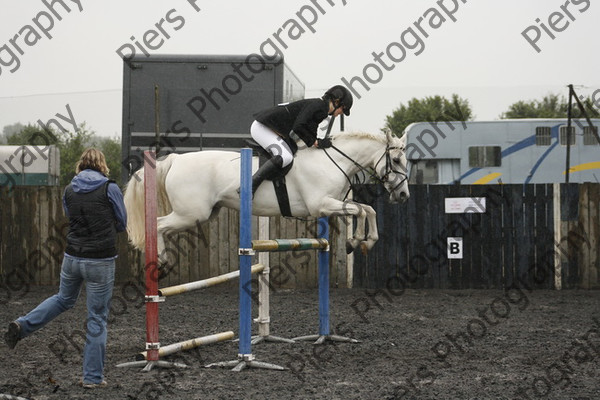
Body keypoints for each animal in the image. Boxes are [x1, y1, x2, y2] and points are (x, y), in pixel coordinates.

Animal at [124, 131, 410, 260]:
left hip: (202, 214)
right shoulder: (322, 206)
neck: (333, 160)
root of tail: (175, 159)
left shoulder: (337, 202)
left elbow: (367, 209)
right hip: (191, 214)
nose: (404, 195)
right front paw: (357, 241)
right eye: (396, 160)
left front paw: (364, 242)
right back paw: (160, 258)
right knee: (158, 224)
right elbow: (361, 210)